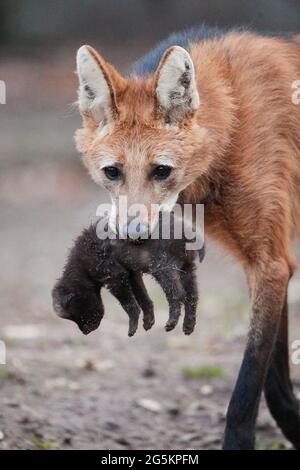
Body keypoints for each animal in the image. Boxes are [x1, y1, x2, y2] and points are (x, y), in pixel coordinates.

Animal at [72, 26, 300, 452]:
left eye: (161, 170)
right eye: (112, 172)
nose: (134, 235)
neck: (232, 122)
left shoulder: (272, 263)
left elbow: (247, 387)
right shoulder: (267, 263)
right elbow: (275, 381)